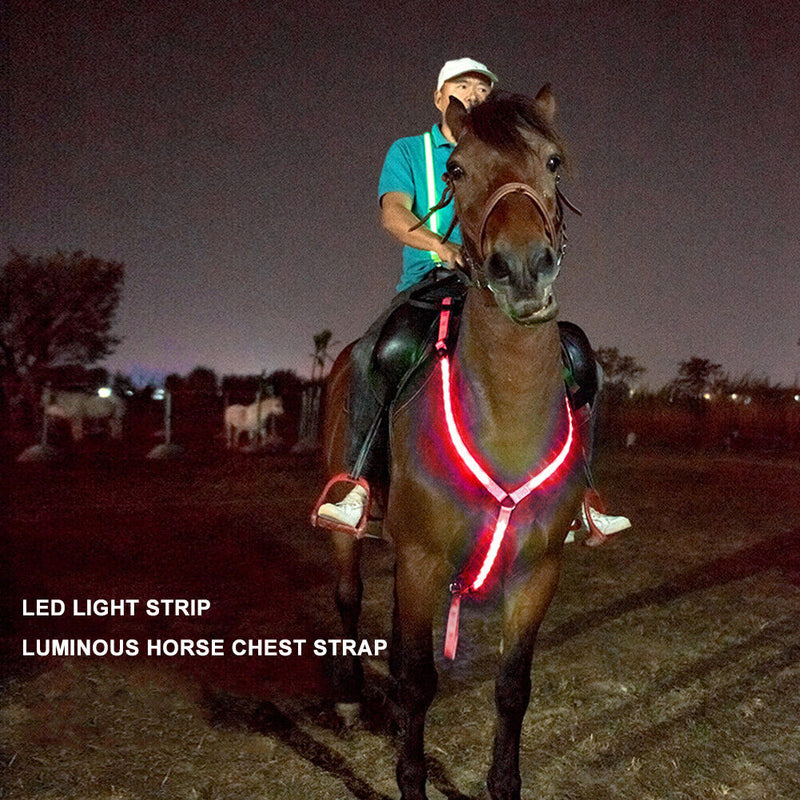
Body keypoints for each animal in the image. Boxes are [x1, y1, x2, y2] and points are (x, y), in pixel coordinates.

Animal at [320, 87, 588, 800]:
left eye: (553, 160)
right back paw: (351, 700)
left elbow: (512, 688)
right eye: (458, 169)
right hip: (350, 526)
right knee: (350, 597)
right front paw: (410, 779)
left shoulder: (537, 571)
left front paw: (503, 782)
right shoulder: (422, 560)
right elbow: (420, 682)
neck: (505, 418)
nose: (522, 270)